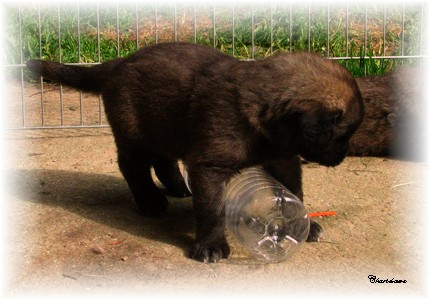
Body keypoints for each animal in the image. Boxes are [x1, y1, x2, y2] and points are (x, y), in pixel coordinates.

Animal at [26, 42, 362, 262]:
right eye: (343, 134)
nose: (344, 156)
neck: (262, 111)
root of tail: (117, 63)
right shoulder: (210, 167)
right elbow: (212, 209)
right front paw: (211, 245)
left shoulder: (284, 158)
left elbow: (295, 191)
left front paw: (304, 223)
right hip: (134, 133)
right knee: (132, 166)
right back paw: (151, 202)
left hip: (164, 126)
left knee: (163, 160)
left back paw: (177, 187)